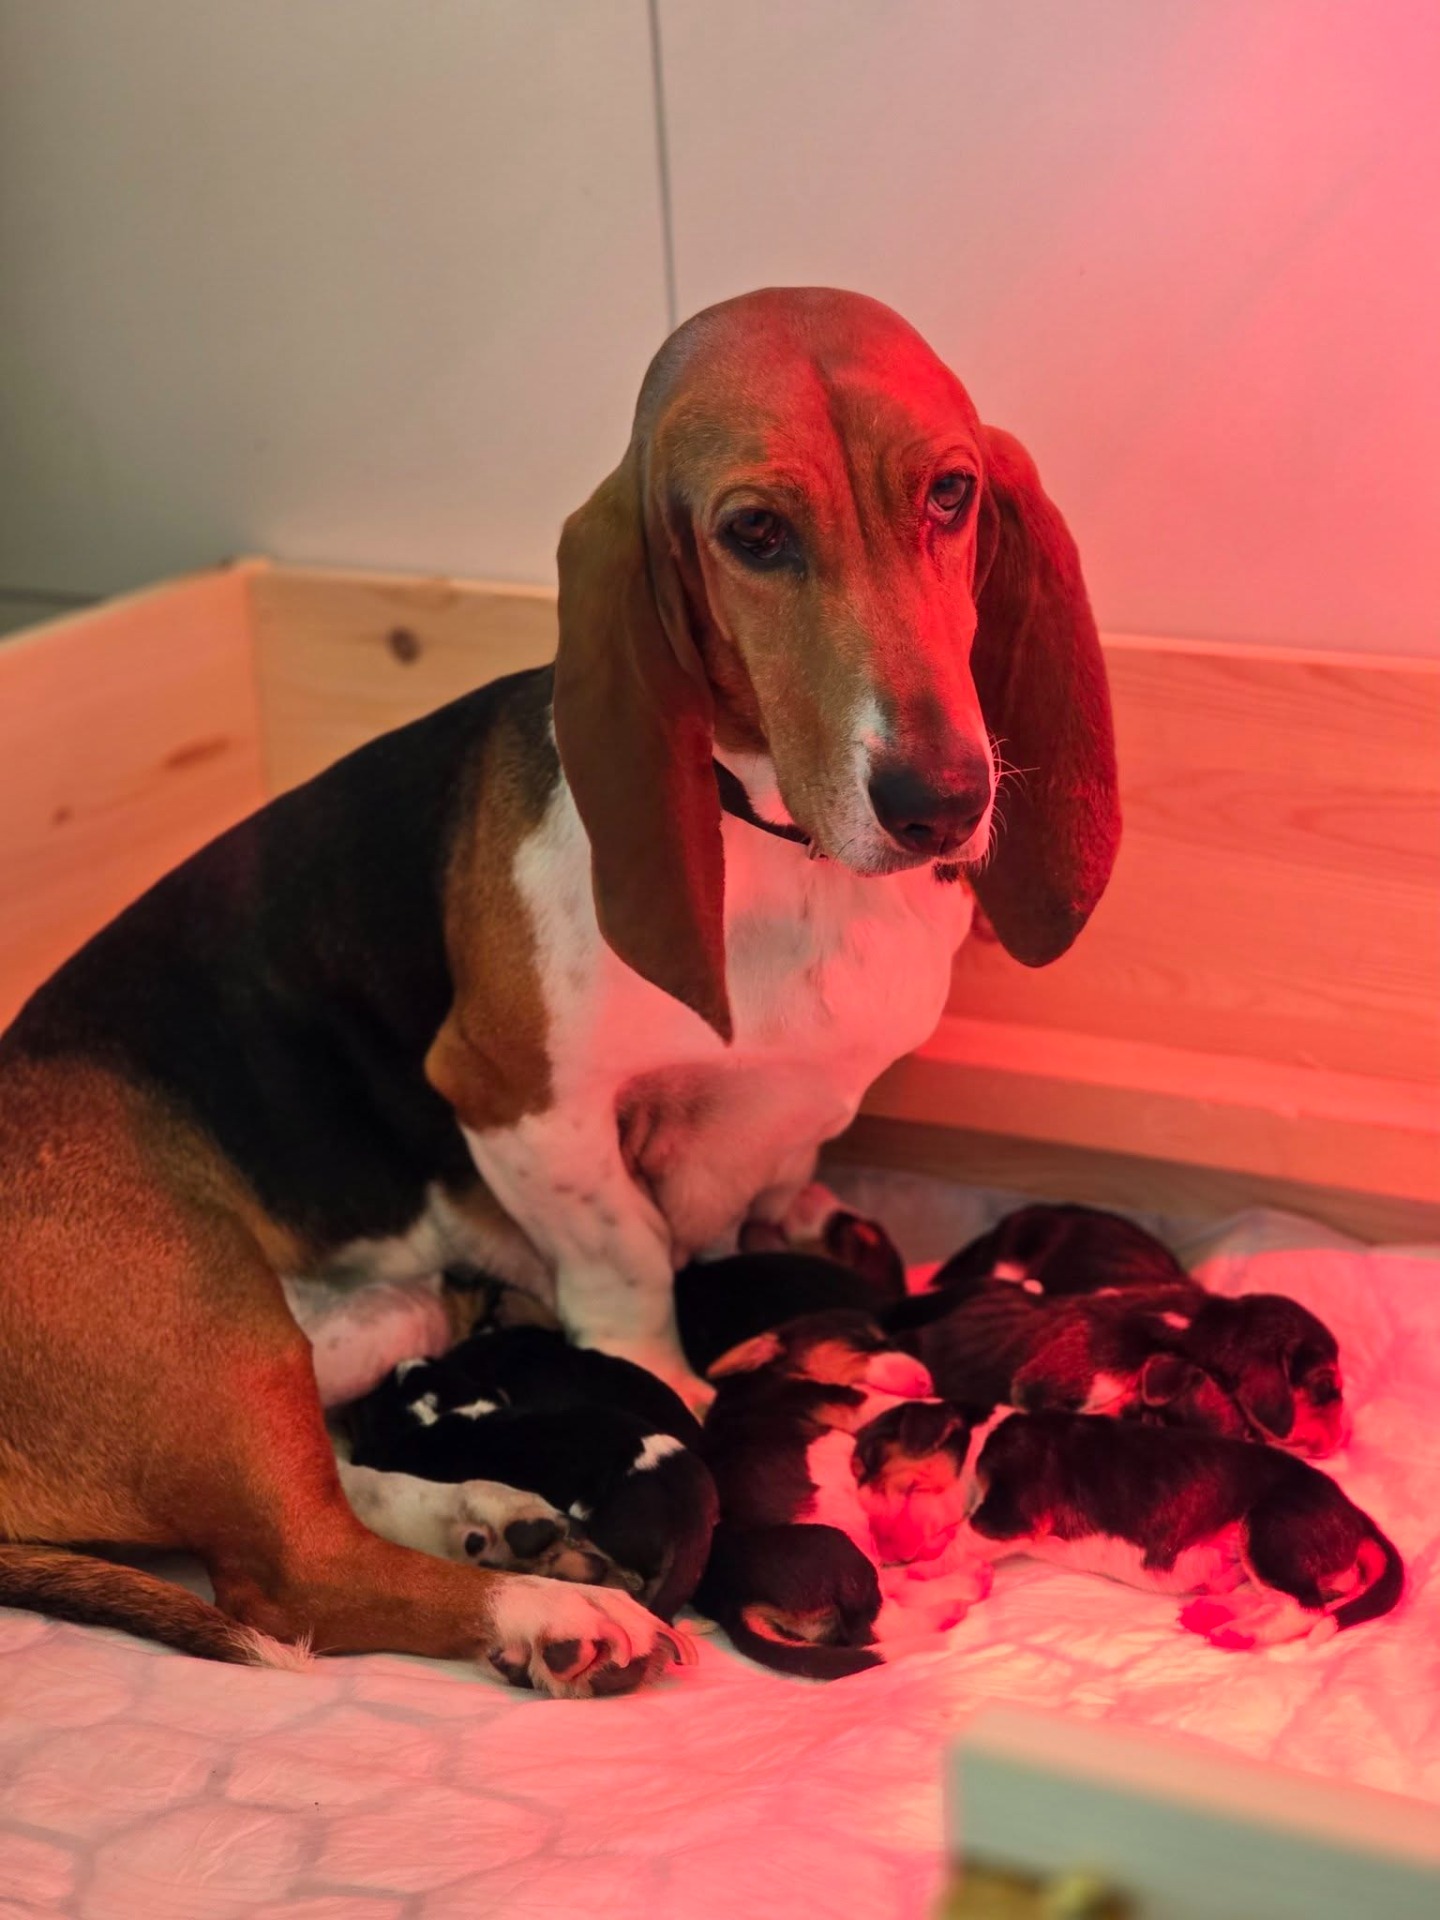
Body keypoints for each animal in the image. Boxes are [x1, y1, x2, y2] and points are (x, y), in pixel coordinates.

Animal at [855, 1403, 1402, 1647]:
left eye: (865, 1463)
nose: (877, 1550)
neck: (977, 1440)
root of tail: (1355, 1514)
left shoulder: (1008, 1511)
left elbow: (959, 1540)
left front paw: (913, 1573)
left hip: (1268, 1530)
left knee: (1306, 1607)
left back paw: (1238, 1634)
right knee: (1284, 1592)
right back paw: (1215, 1610)